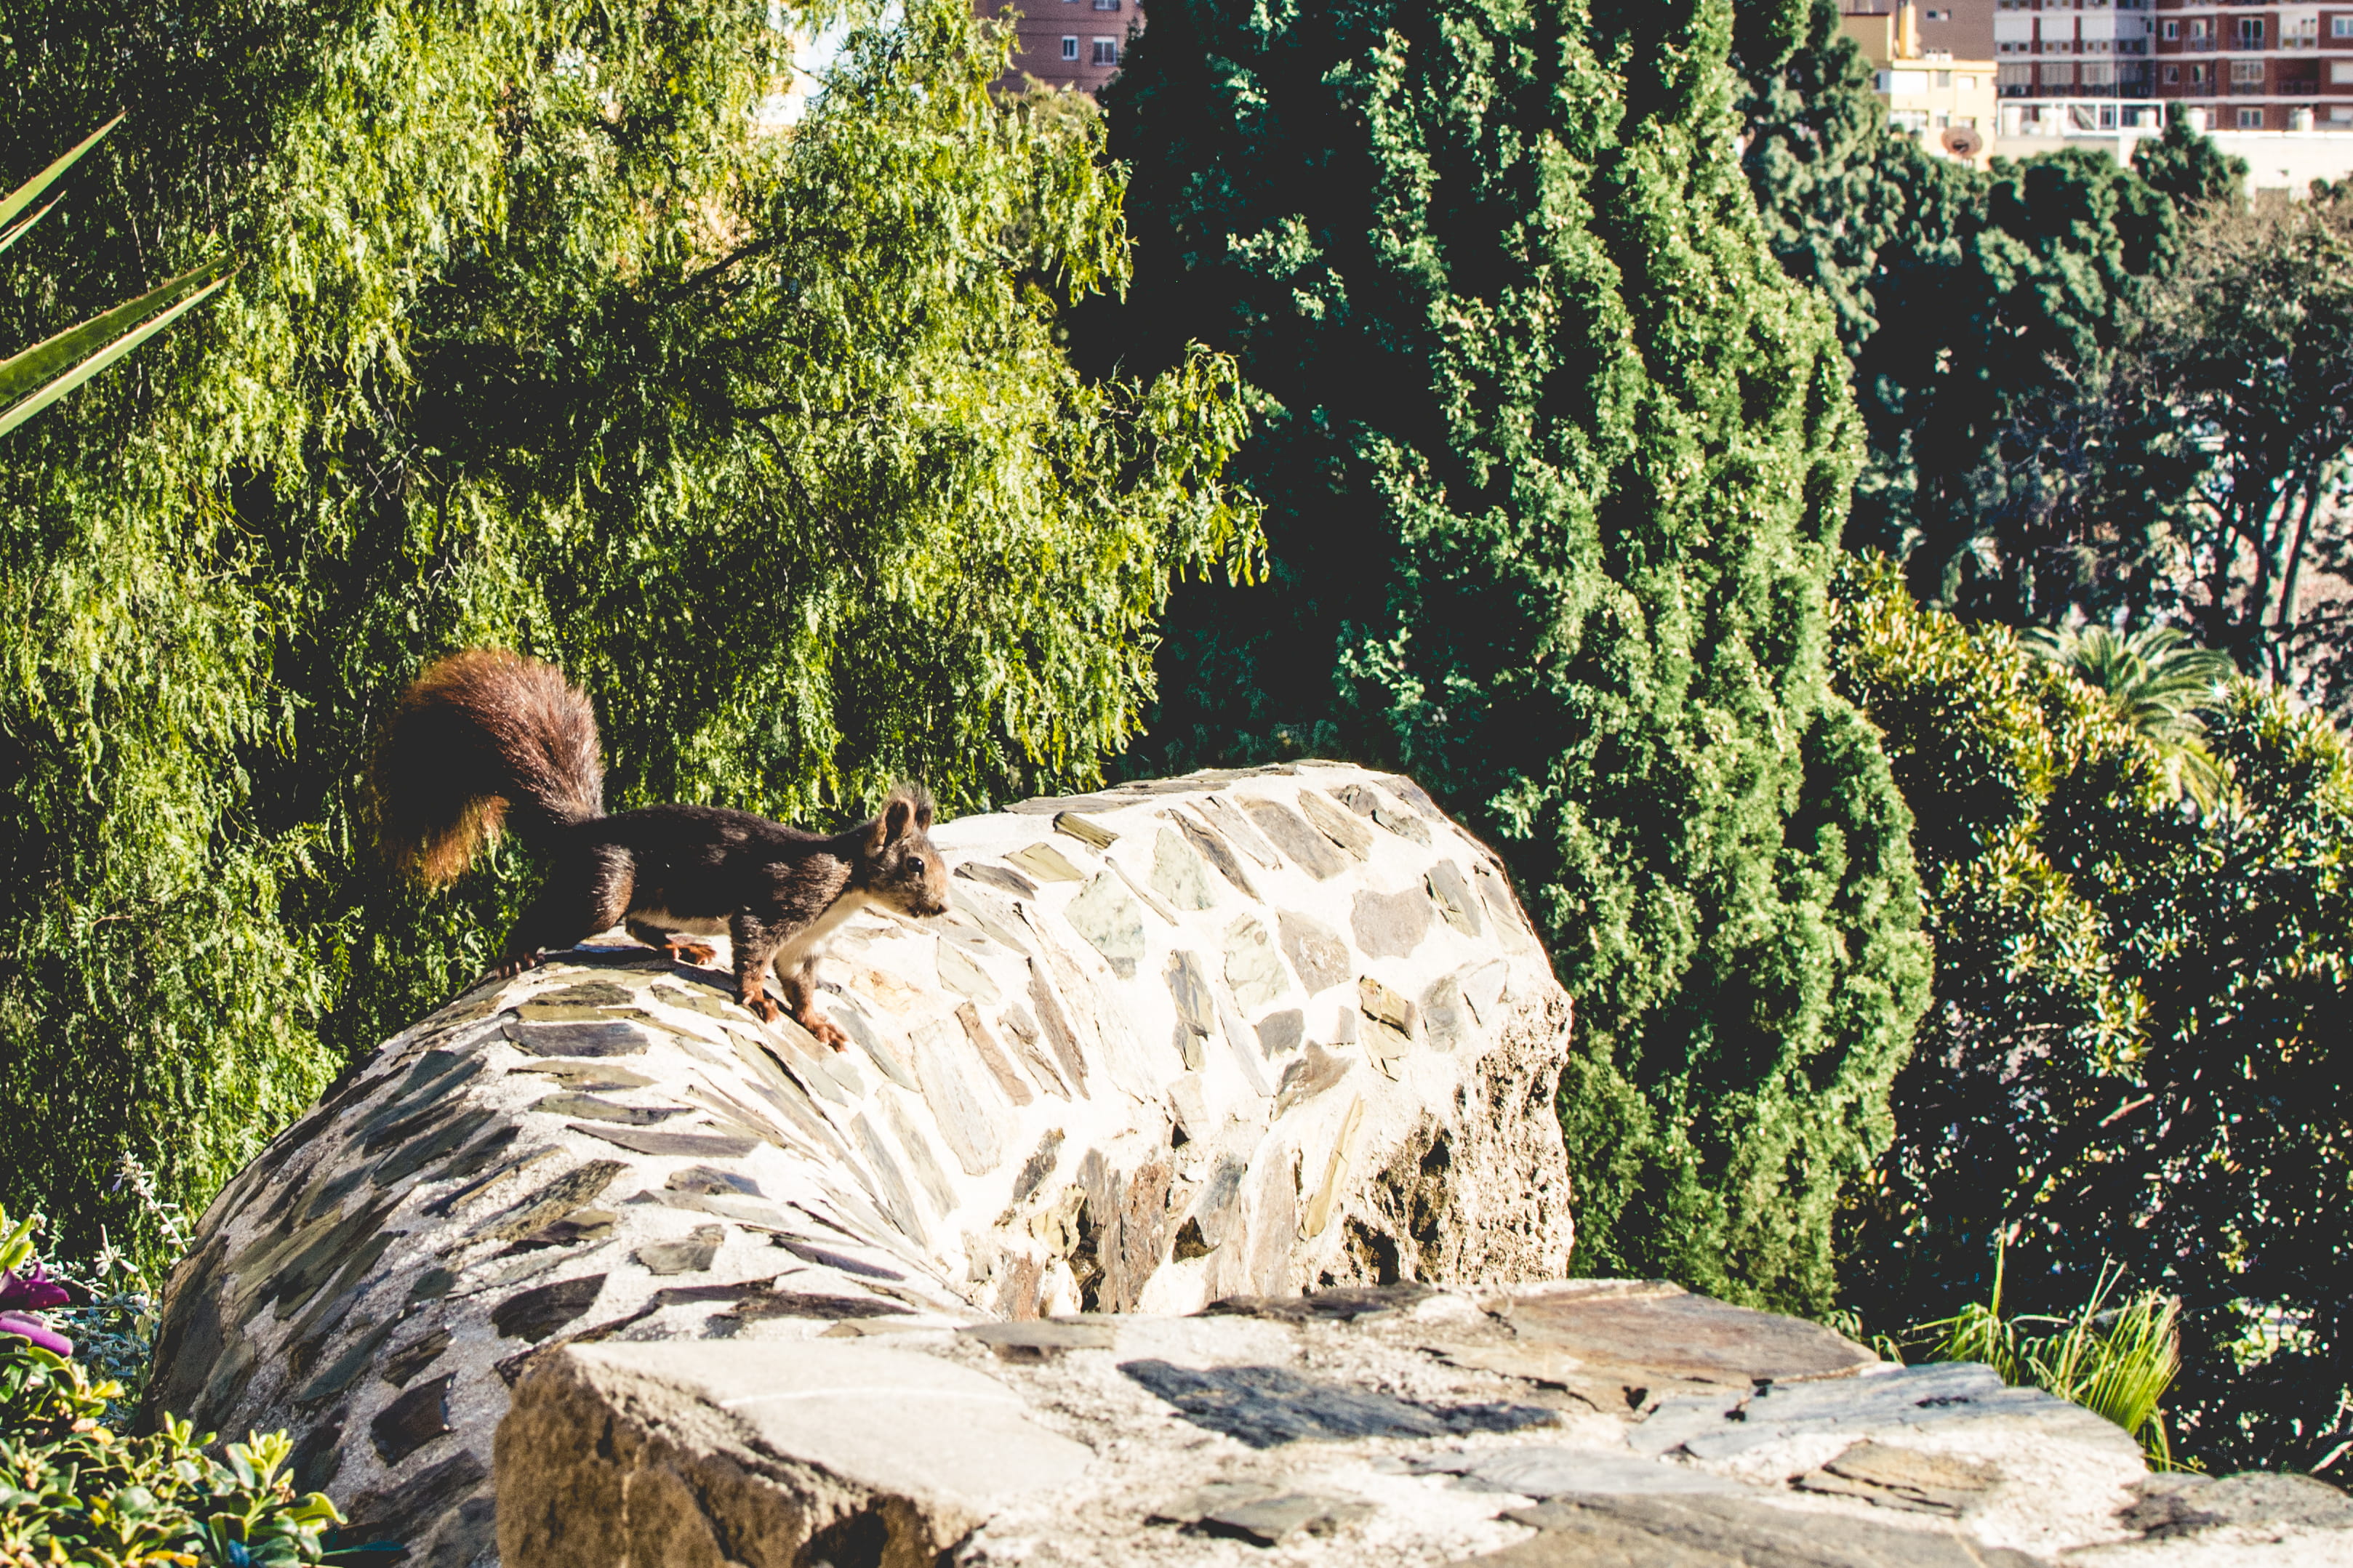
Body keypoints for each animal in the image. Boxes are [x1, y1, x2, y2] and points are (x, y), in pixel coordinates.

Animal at [369, 648, 948, 1048]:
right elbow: (753, 947)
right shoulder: (786, 898)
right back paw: (517, 950)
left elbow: (801, 989)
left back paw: (680, 947)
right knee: (573, 914)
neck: (847, 885)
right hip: (607, 886)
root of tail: (588, 831)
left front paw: (819, 1025)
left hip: (661, 898)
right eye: (916, 864)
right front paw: (756, 998)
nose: (941, 907)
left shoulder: (804, 948)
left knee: (638, 926)